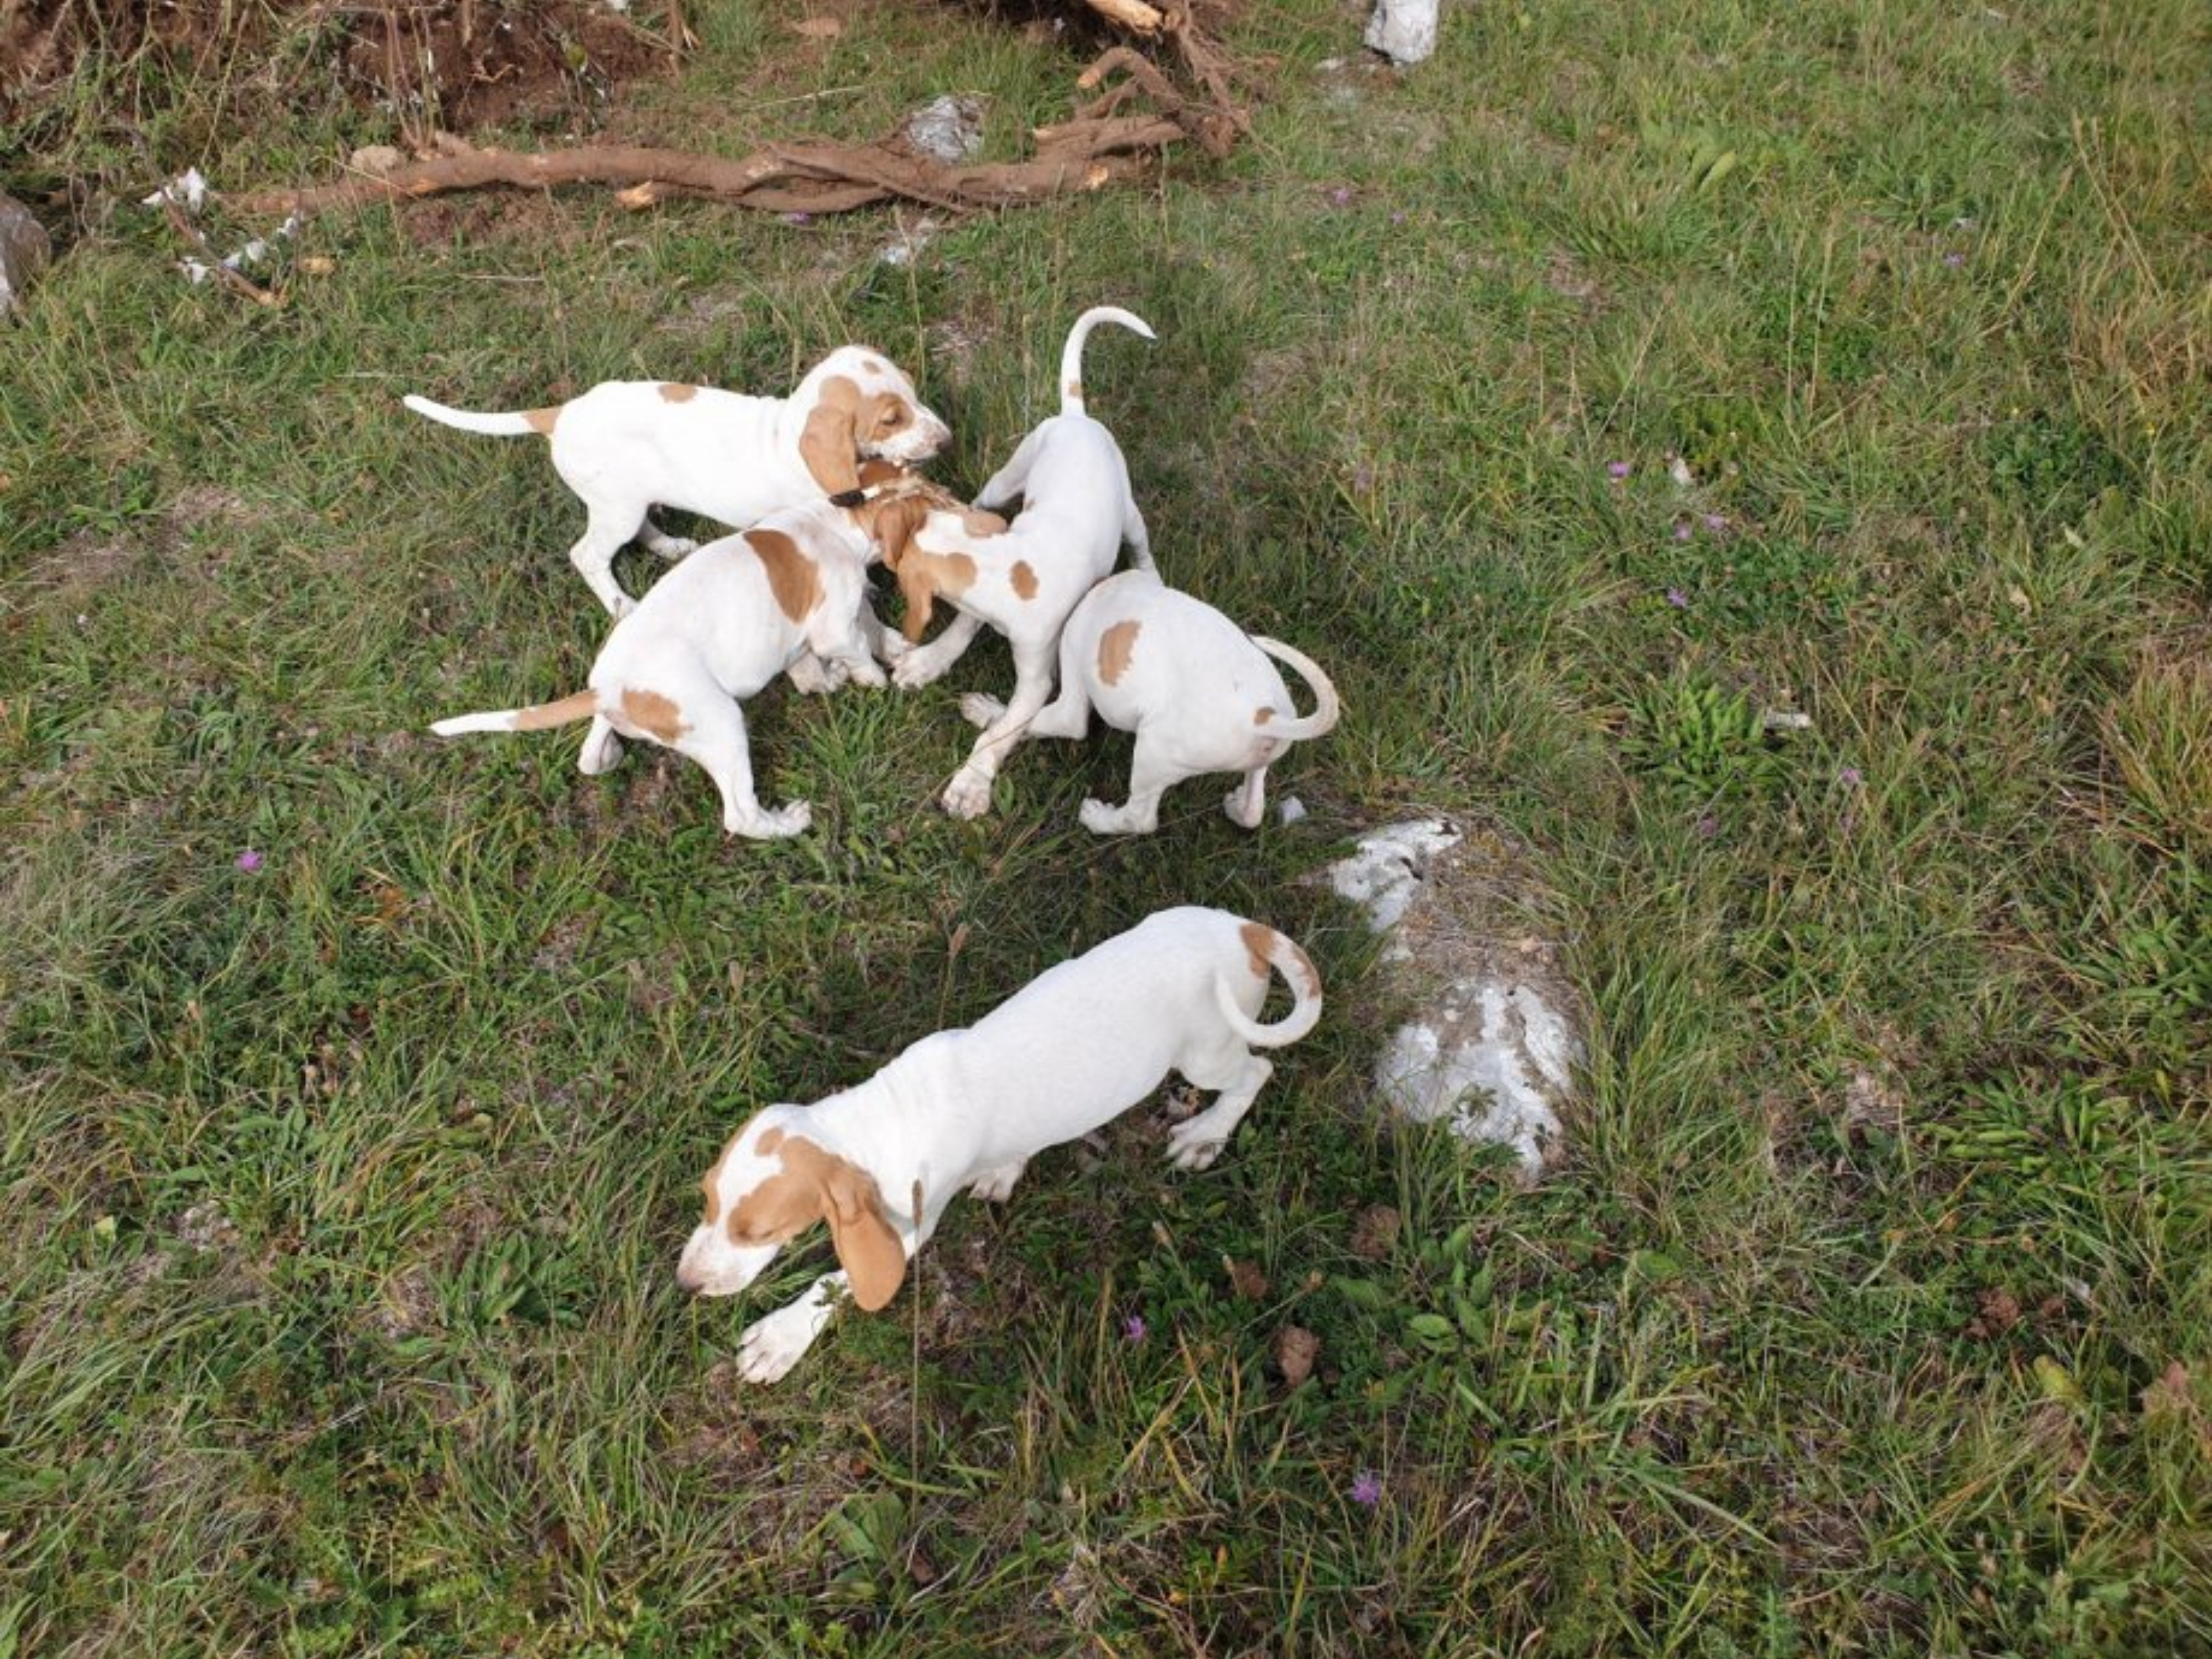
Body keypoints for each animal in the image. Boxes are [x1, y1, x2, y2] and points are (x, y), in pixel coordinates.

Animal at [405, 349, 951, 619]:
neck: (790, 429)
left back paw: (669, 547)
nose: (946, 440)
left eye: (913, 391)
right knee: (587, 555)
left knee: (641, 527)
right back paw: (621, 605)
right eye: (891, 419)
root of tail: (561, 414)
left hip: (628, 501)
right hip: (614, 509)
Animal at [427, 471, 956, 836]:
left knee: (589, 756)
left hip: (623, 705)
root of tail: (608, 689)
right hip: (721, 724)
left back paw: (608, 752)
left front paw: (838, 674)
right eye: (942, 504)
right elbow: (859, 647)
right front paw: (874, 677)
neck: (841, 522)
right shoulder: (836, 630)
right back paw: (788, 823)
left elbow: (828, 653)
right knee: (740, 815)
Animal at [672, 911, 1318, 1389]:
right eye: (706, 1199)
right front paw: (1007, 1167)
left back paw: (1207, 1135)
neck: (876, 1118)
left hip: (1207, 1054)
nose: (686, 1284)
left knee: (1255, 1073)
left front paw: (781, 1339)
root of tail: (1243, 929)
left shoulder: (911, 1226)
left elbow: (837, 1281)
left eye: (759, 1232)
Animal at [880, 307, 1159, 827]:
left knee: (1141, 545)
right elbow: (962, 629)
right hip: (1004, 479)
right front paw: (930, 661)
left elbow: (1000, 731)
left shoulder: (1036, 683)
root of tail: (1077, 417)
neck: (1009, 568)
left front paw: (971, 784)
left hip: (1130, 516)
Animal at [1026, 571, 1336, 836]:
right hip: (1260, 759)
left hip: (1152, 756)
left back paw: (1099, 819)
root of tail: (1263, 716)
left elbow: (1036, 719)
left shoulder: (1071, 695)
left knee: (1140, 819)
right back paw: (1237, 807)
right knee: (1254, 808)